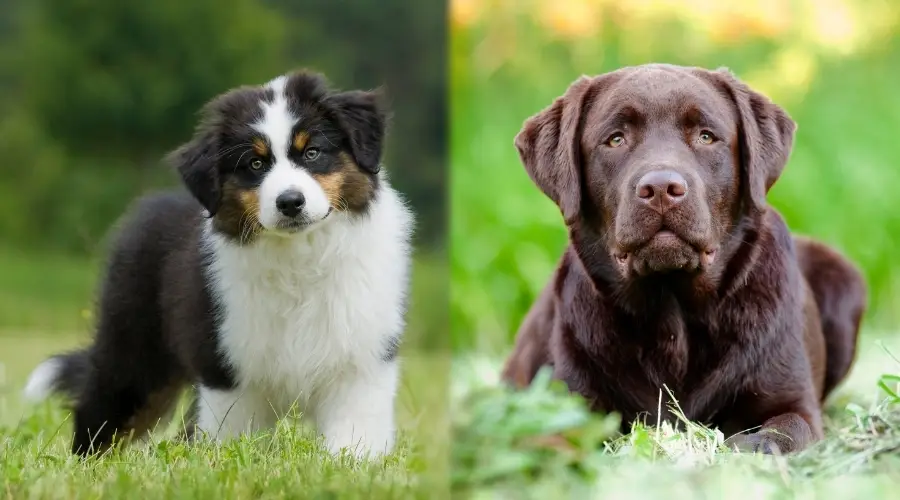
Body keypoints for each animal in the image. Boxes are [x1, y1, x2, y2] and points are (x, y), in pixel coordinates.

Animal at [23, 69, 412, 458]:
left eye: (313, 152)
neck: (298, 256)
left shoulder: (361, 362)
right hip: (136, 347)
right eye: (255, 164)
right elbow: (230, 437)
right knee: (103, 407)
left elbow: (354, 440)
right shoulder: (227, 367)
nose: (289, 202)